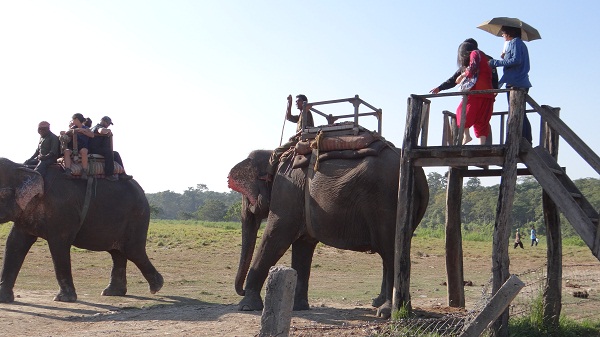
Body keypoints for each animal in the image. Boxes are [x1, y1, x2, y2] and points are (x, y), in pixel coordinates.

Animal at [0, 158, 163, 302]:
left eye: (1, 194)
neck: (24, 167)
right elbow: (14, 243)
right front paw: (4, 299)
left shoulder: (62, 211)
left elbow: (58, 245)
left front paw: (64, 299)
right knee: (117, 252)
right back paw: (112, 292)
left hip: (137, 216)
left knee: (132, 251)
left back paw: (156, 287)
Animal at [227, 144, 428, 318]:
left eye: (246, 196)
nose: (241, 290)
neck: (274, 154)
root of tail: (419, 174)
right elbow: (303, 245)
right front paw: (298, 307)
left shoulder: (287, 192)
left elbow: (276, 236)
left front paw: (246, 307)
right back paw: (391, 306)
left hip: (388, 201)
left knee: (391, 251)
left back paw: (386, 312)